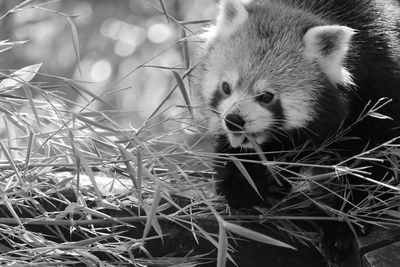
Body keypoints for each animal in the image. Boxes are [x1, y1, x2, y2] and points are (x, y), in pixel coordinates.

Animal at [194, 0, 400, 264]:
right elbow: (244, 154)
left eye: (266, 97)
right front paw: (242, 186)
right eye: (226, 87)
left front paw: (345, 225)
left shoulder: (382, 83)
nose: (234, 121)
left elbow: (374, 161)